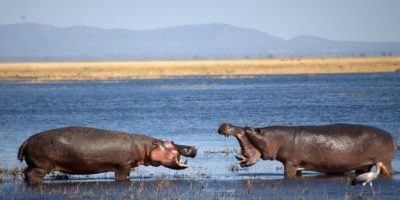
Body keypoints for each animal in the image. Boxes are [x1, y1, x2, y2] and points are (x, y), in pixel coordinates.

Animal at [18, 127, 197, 185]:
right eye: (169, 143)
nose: (193, 147)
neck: (146, 147)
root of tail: (26, 141)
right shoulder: (124, 164)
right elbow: (123, 177)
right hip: (41, 166)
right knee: (33, 175)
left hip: (32, 164)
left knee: (25, 173)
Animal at [219, 123, 396, 178]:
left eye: (249, 128)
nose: (224, 124)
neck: (274, 138)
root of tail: (391, 137)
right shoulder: (297, 164)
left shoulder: (290, 162)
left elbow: (288, 175)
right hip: (364, 165)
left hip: (384, 161)